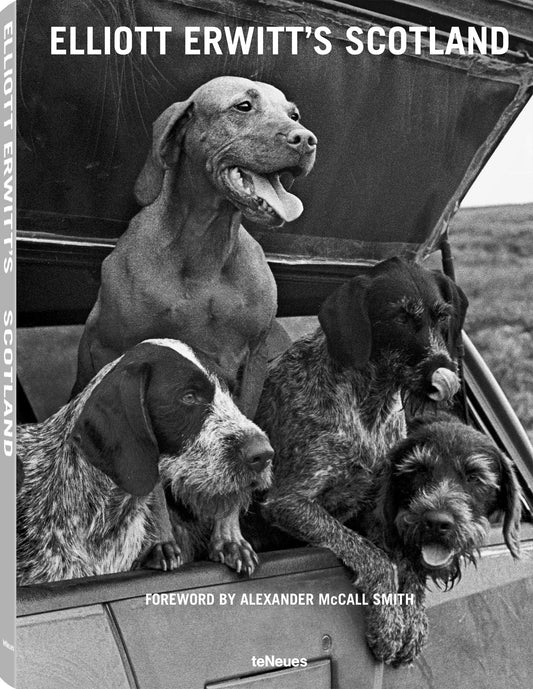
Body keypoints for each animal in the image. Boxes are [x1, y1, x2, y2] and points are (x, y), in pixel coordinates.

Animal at [256, 256, 468, 660]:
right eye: (400, 317)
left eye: (442, 316)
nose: (445, 370)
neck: (369, 403)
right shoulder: (289, 502)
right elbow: (376, 558)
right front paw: (388, 625)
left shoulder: (381, 506)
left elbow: (408, 562)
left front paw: (413, 619)